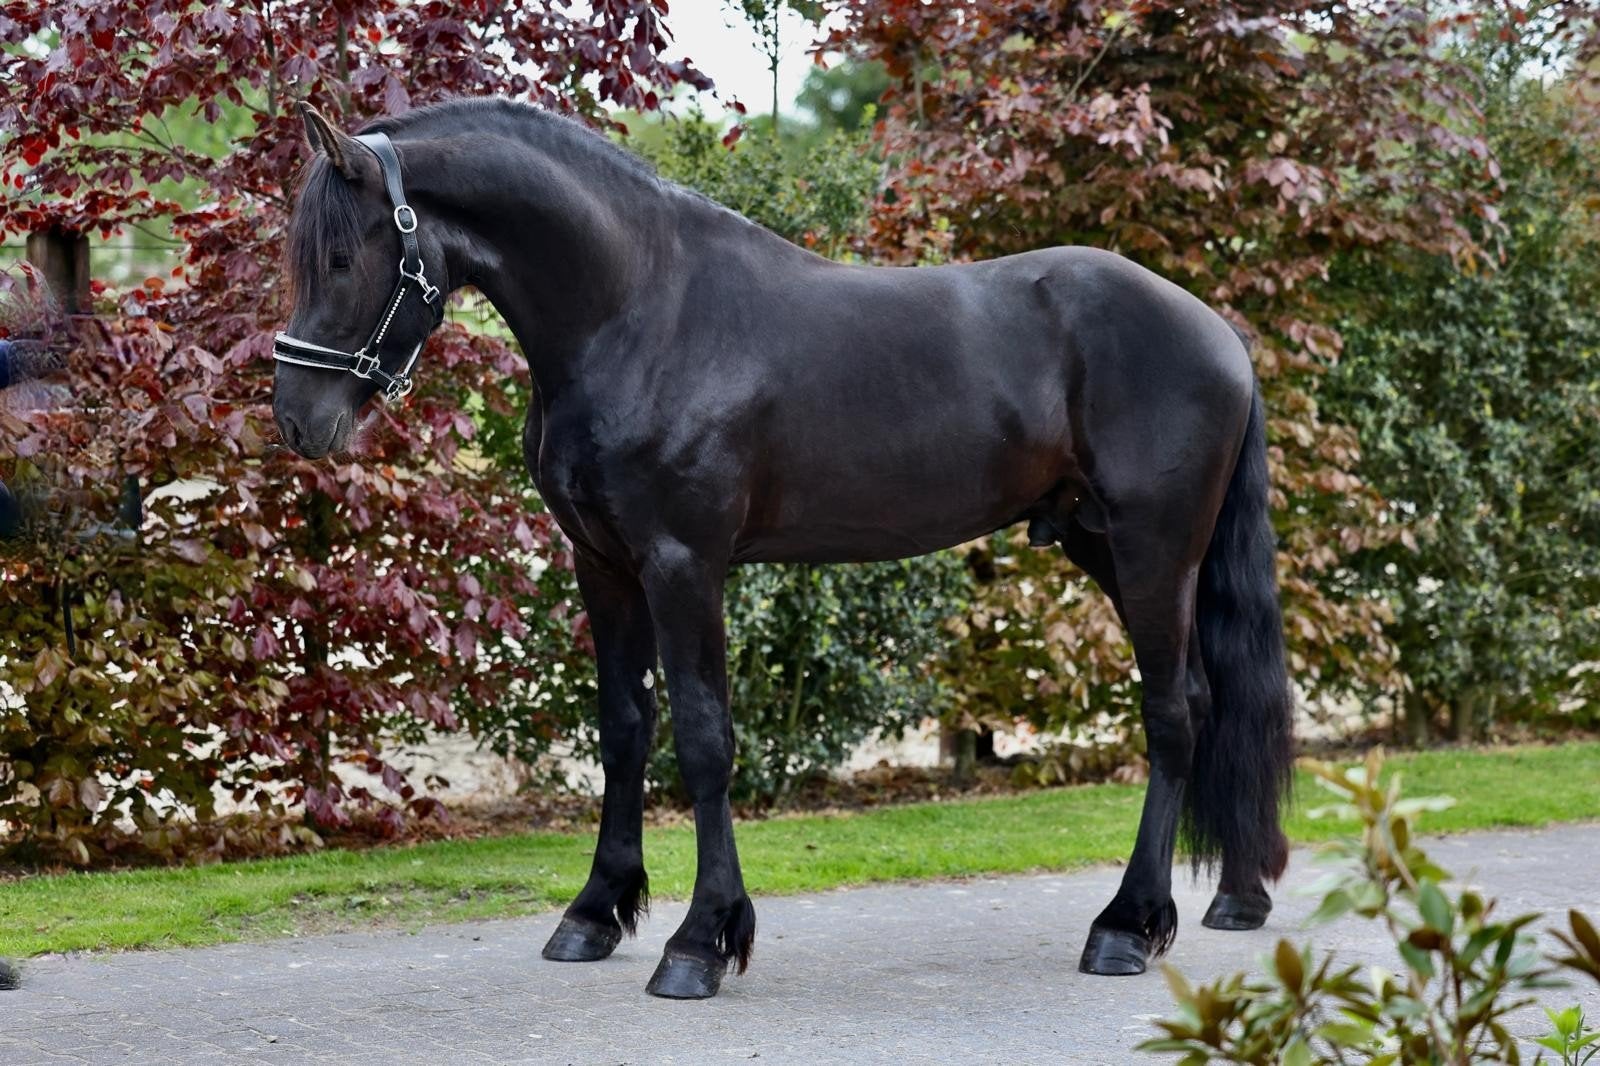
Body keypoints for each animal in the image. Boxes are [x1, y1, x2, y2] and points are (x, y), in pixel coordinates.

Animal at [272, 98, 1294, 1000]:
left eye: (341, 256)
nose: (296, 420)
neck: (638, 311)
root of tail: (1217, 332)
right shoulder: (603, 566)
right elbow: (624, 730)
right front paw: (596, 913)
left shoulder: (684, 564)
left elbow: (705, 740)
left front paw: (698, 944)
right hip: (1106, 545)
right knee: (1211, 699)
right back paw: (1230, 898)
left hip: (1155, 549)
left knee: (1173, 714)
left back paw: (1125, 927)